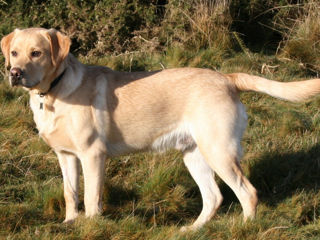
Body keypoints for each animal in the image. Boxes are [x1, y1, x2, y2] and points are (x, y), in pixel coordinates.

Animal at [1, 27, 320, 231]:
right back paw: (192, 229)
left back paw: (245, 228)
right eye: (14, 53)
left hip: (219, 151)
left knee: (247, 193)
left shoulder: (93, 155)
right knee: (214, 197)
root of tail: (227, 78)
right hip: (194, 155)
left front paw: (89, 226)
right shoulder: (65, 156)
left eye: (37, 53)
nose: (14, 73)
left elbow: (92, 198)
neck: (52, 93)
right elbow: (70, 194)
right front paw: (69, 224)